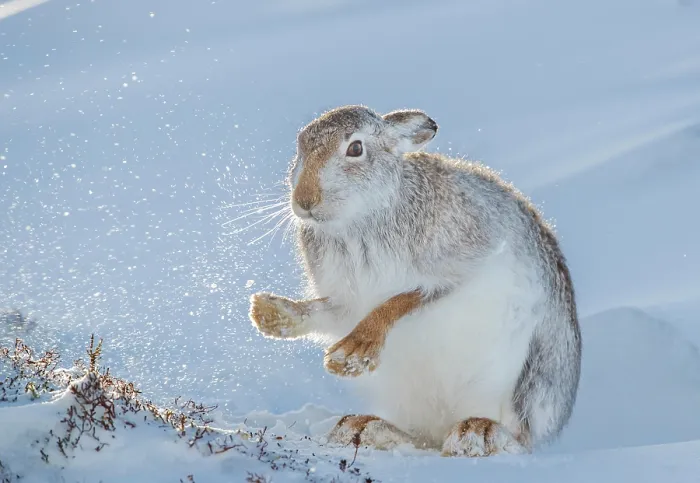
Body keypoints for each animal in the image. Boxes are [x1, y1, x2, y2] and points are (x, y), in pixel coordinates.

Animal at [248, 105, 581, 457]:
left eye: (355, 148)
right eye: (301, 146)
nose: (305, 200)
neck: (362, 217)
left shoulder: (462, 266)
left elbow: (401, 300)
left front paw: (353, 352)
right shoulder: (344, 303)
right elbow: (323, 312)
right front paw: (269, 315)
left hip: (518, 379)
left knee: (516, 438)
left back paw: (477, 432)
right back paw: (362, 428)